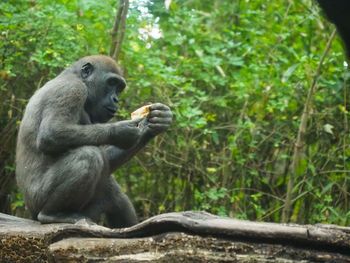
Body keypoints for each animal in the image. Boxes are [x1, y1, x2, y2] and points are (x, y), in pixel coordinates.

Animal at [15, 55, 173, 229]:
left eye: (119, 88)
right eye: (111, 83)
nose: (116, 99)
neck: (75, 76)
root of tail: (30, 212)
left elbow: (107, 159)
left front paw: (151, 125)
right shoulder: (72, 89)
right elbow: (51, 133)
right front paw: (119, 131)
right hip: (37, 202)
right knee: (89, 156)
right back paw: (53, 214)